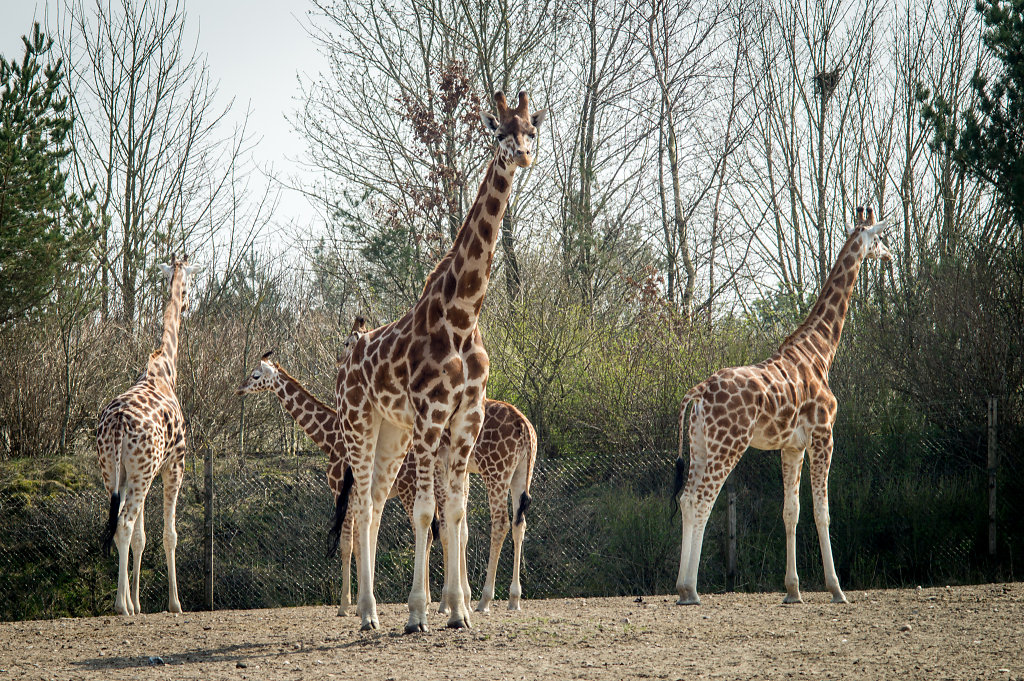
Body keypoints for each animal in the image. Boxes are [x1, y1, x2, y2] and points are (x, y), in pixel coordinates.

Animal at [98, 251, 203, 614]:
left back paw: (127, 604)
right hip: (142, 474)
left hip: (114, 473)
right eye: (189, 283)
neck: (164, 369)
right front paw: (174, 603)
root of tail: (116, 423)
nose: (187, 303)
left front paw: (140, 603)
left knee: (119, 525)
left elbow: (142, 539)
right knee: (124, 524)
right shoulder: (175, 465)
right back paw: (120, 606)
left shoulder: (137, 474)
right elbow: (170, 534)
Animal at [232, 350, 536, 614]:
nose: (239, 389)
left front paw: (347, 605)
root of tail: (525, 426)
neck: (330, 438)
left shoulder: (343, 490)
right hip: (515, 474)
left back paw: (479, 600)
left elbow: (349, 542)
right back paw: (504, 599)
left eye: (256, 375)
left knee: (494, 523)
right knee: (507, 524)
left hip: (492, 472)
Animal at [335, 90, 548, 630]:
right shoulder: (432, 417)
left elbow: (453, 514)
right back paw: (367, 614)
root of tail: (348, 353)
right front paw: (418, 613)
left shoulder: (465, 418)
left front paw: (459, 611)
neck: (462, 315)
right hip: (359, 422)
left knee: (374, 501)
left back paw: (373, 610)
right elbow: (427, 513)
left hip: (392, 432)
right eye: (499, 131)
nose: (522, 156)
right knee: (362, 508)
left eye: (531, 131)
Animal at [671, 206, 888, 606]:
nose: (890, 256)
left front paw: (793, 590)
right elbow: (822, 512)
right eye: (879, 238)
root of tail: (698, 393)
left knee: (687, 498)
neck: (822, 351)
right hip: (728, 444)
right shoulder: (823, 435)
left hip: (700, 444)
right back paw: (690, 589)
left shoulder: (791, 446)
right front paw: (836, 589)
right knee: (702, 499)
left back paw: (683, 588)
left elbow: (791, 512)